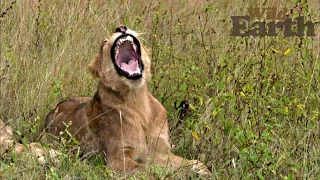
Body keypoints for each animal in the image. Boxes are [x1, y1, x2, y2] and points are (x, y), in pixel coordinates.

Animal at [45, 25, 210, 176]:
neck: (138, 98)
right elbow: (145, 172)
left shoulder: (160, 151)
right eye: (103, 43)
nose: (120, 27)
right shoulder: (117, 159)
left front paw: (203, 171)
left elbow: (191, 162)